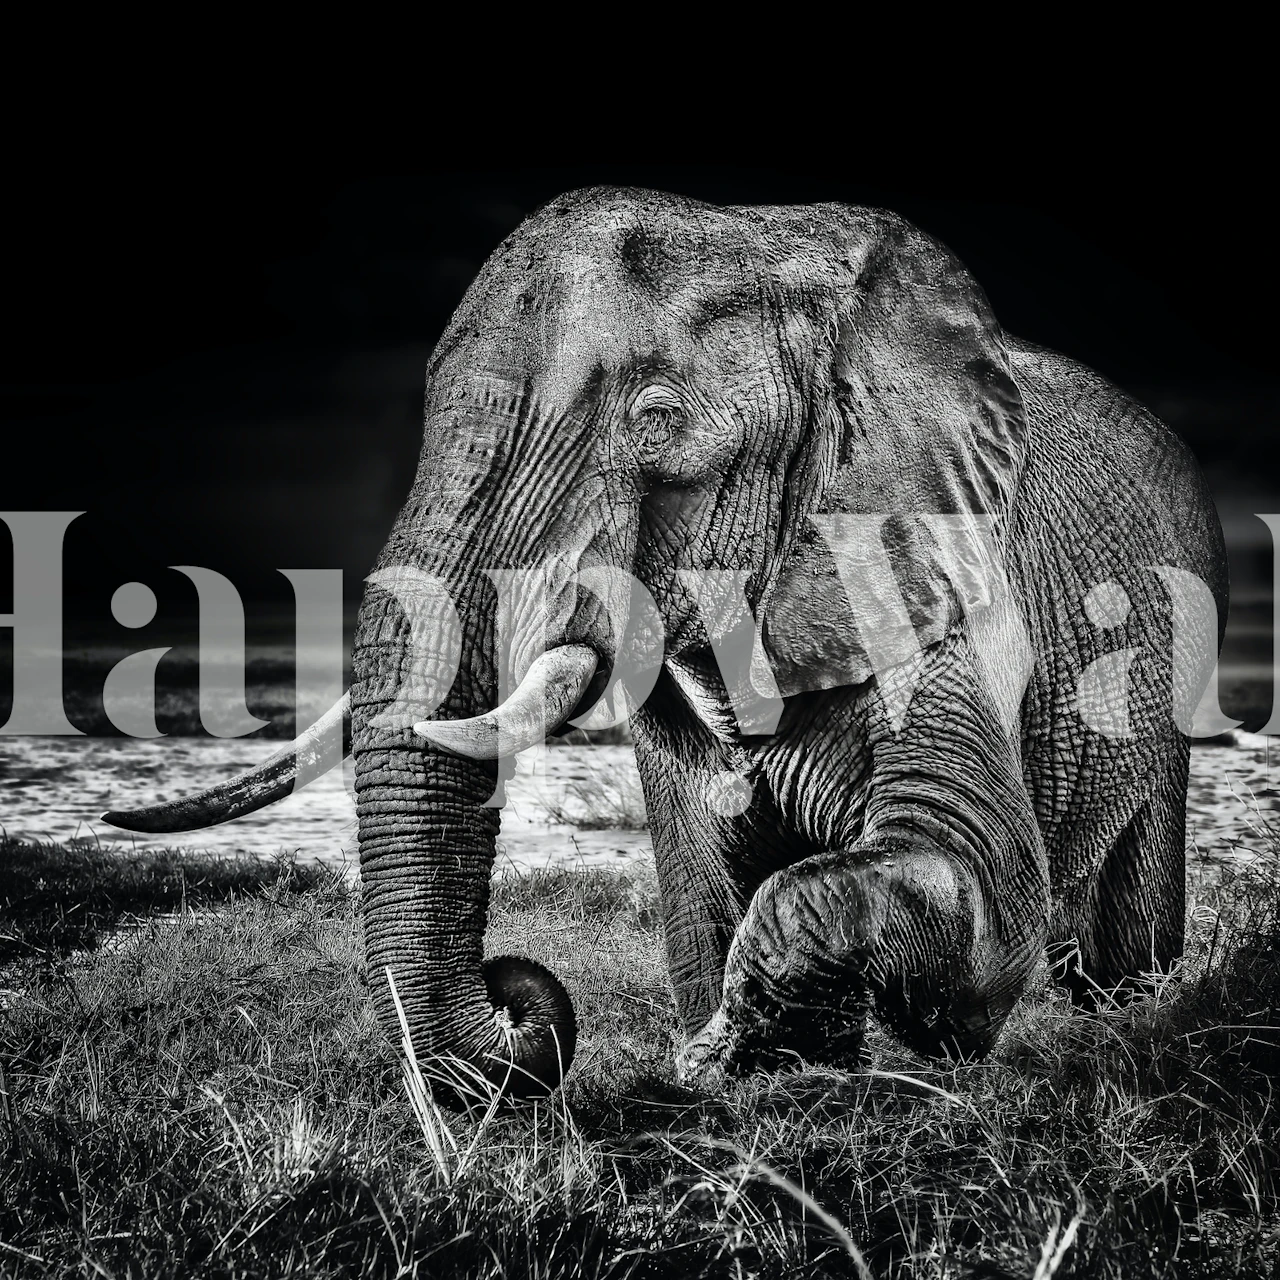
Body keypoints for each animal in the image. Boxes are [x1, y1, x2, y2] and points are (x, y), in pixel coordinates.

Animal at [105, 187, 1227, 1099]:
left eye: (654, 419)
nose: (514, 991)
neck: (777, 247)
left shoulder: (929, 572)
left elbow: (980, 881)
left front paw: (719, 1056)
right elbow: (702, 883)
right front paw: (768, 1066)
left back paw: (1125, 1016)